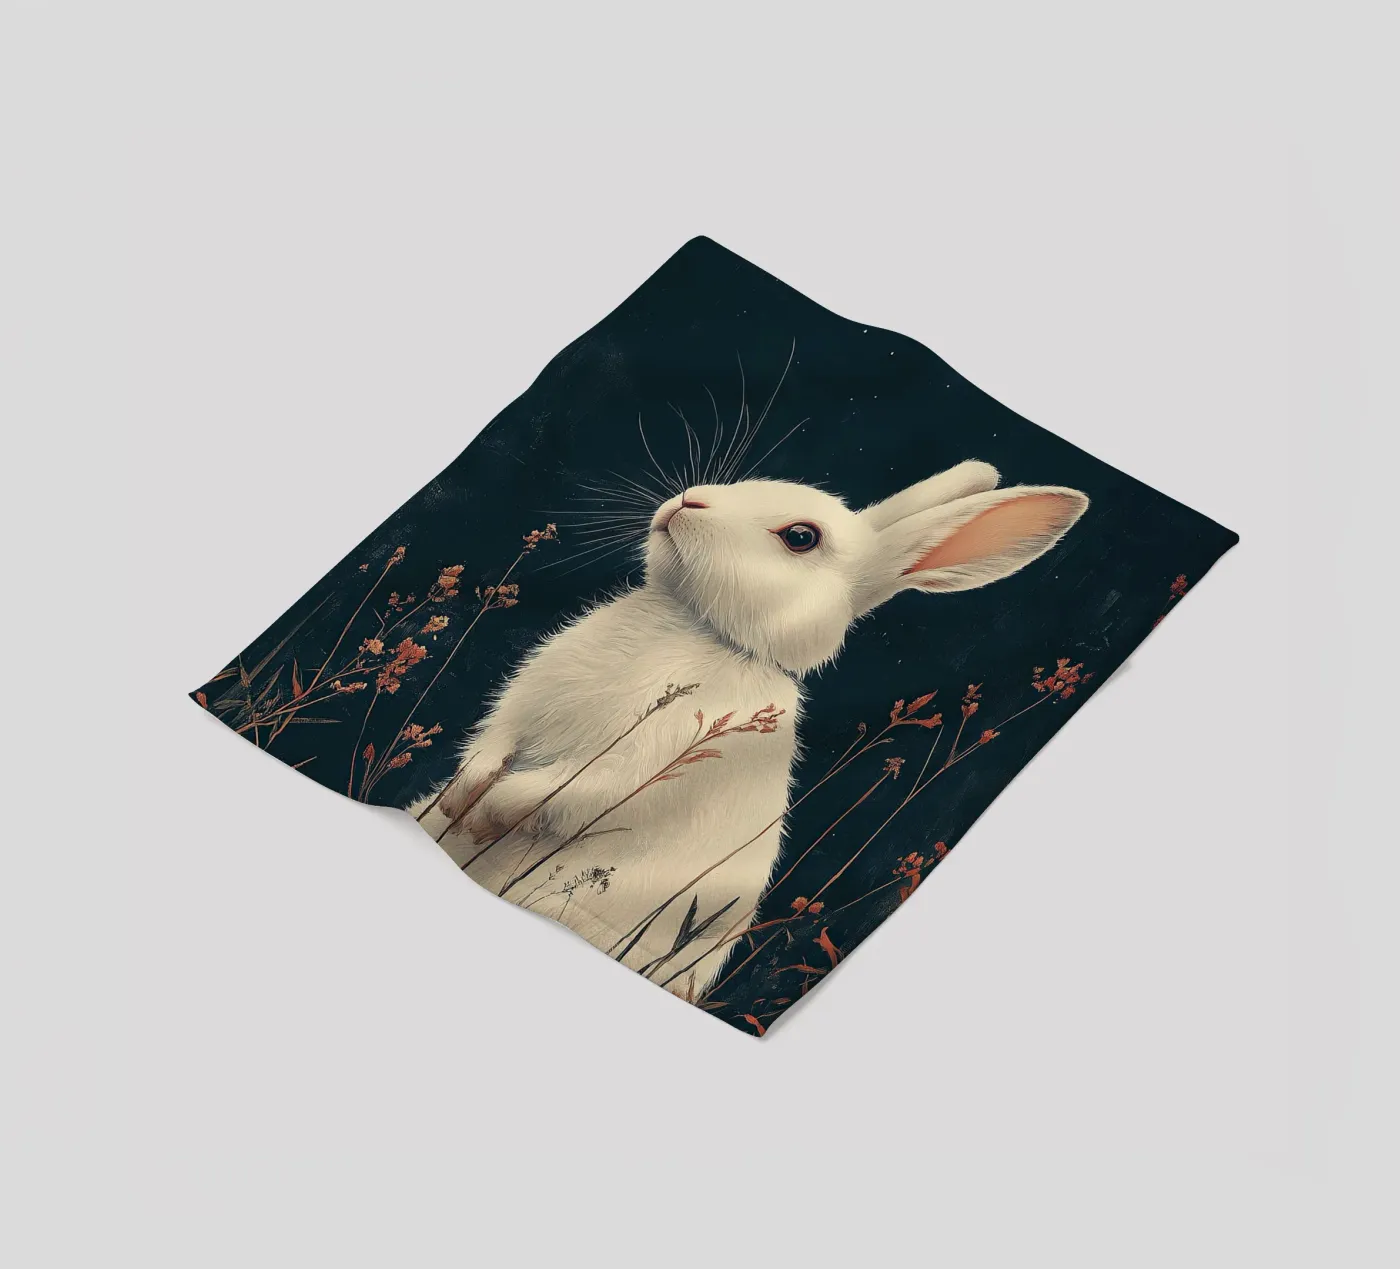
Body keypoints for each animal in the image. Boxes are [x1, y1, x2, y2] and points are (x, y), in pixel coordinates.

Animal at [411, 461, 1088, 1000]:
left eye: (801, 538)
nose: (689, 501)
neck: (700, 626)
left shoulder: (645, 765)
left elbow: (570, 792)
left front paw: (485, 814)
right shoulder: (525, 701)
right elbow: (494, 741)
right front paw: (460, 798)